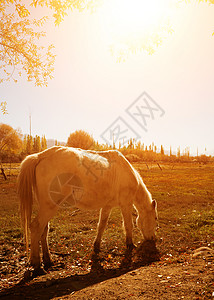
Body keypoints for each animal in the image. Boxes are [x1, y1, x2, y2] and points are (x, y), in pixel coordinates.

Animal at [17, 146, 158, 274]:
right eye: (155, 218)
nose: (153, 239)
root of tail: (41, 156)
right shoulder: (126, 204)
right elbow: (129, 225)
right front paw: (130, 245)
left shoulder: (107, 206)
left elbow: (101, 226)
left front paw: (96, 246)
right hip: (49, 207)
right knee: (36, 227)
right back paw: (37, 264)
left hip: (47, 207)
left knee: (44, 230)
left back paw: (48, 260)